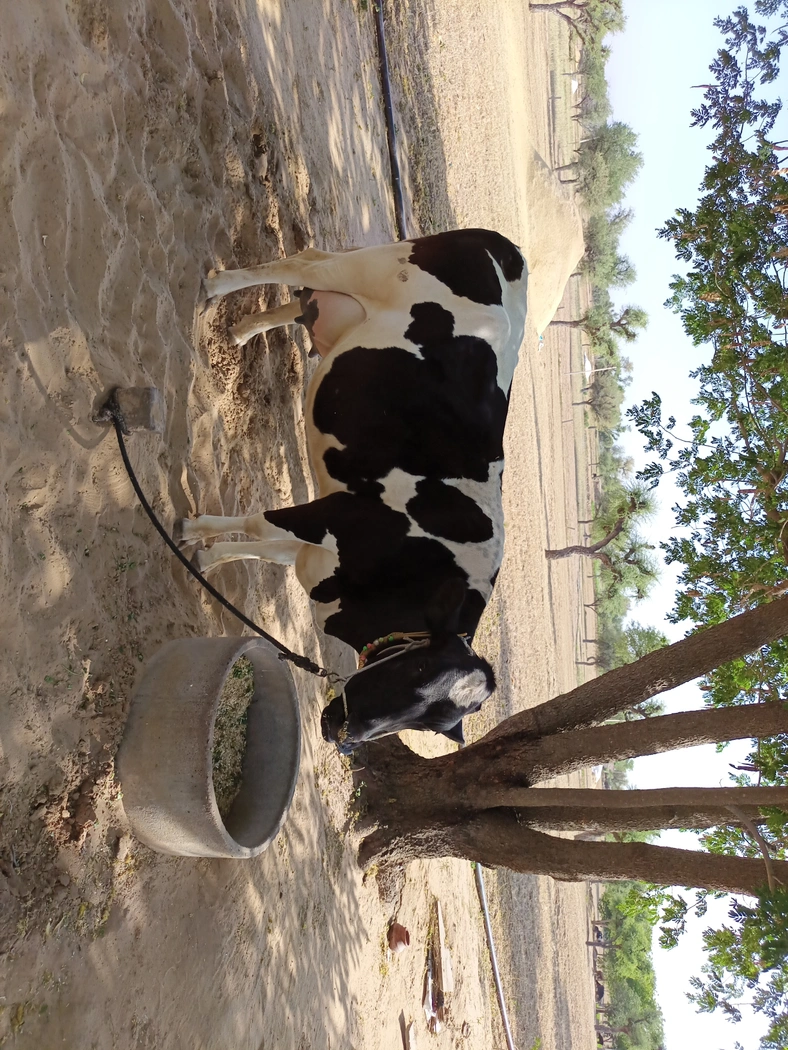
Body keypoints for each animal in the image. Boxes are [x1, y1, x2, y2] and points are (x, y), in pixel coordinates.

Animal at [175, 228, 527, 753]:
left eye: (432, 724)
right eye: (418, 669)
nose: (345, 734)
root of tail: (504, 246)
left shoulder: (318, 549)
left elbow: (265, 548)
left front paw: (208, 558)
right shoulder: (338, 514)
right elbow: (259, 523)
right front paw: (193, 531)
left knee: (305, 297)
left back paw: (241, 332)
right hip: (372, 268)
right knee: (305, 263)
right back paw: (218, 286)